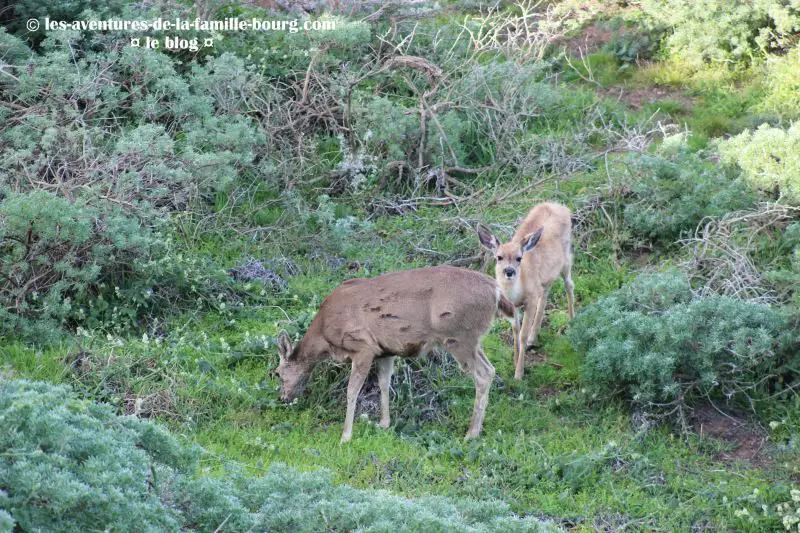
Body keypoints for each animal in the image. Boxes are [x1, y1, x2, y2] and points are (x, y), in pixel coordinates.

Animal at [276, 264, 512, 442]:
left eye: (277, 373)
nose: (284, 398)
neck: (325, 337)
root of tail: (496, 291)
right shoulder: (385, 351)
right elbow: (384, 383)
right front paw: (384, 423)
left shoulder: (363, 347)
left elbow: (352, 391)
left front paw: (345, 436)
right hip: (472, 341)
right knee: (490, 369)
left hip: (459, 337)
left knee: (483, 374)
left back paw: (471, 434)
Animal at [478, 200, 572, 378]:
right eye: (499, 257)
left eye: (519, 258)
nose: (509, 271)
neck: (516, 294)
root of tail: (560, 205)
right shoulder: (514, 306)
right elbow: (515, 331)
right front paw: (515, 361)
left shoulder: (530, 299)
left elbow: (522, 334)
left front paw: (519, 373)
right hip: (546, 278)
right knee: (545, 295)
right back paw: (533, 339)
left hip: (567, 256)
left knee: (569, 284)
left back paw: (572, 320)